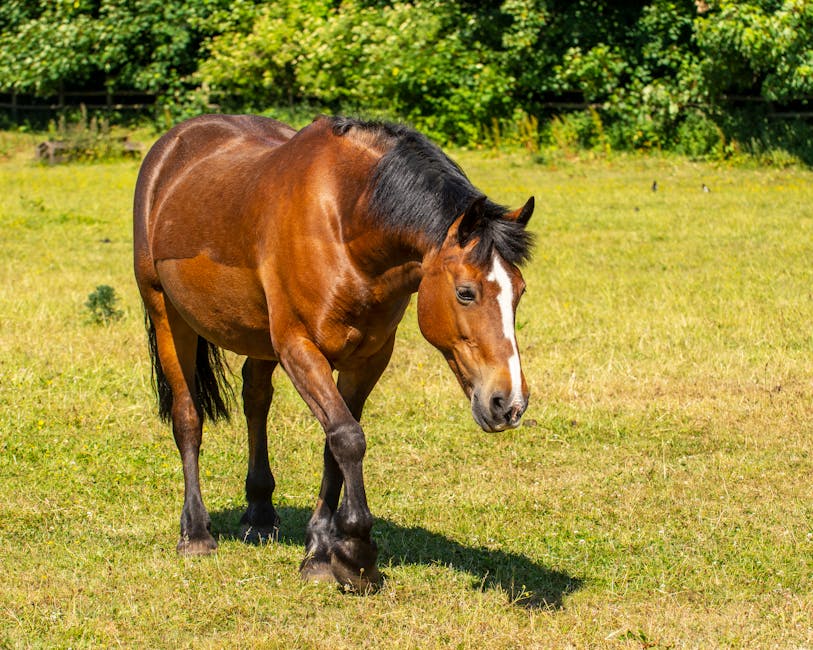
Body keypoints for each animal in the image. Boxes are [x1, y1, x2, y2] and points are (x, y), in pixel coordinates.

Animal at [135, 112, 532, 588]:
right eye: (466, 293)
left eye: (520, 291)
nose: (509, 403)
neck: (346, 223)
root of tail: (173, 144)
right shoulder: (299, 348)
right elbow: (347, 437)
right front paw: (357, 552)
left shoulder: (369, 357)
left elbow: (335, 442)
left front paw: (322, 551)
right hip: (165, 313)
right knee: (188, 416)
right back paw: (195, 532)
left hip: (258, 338)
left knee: (255, 399)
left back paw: (259, 513)